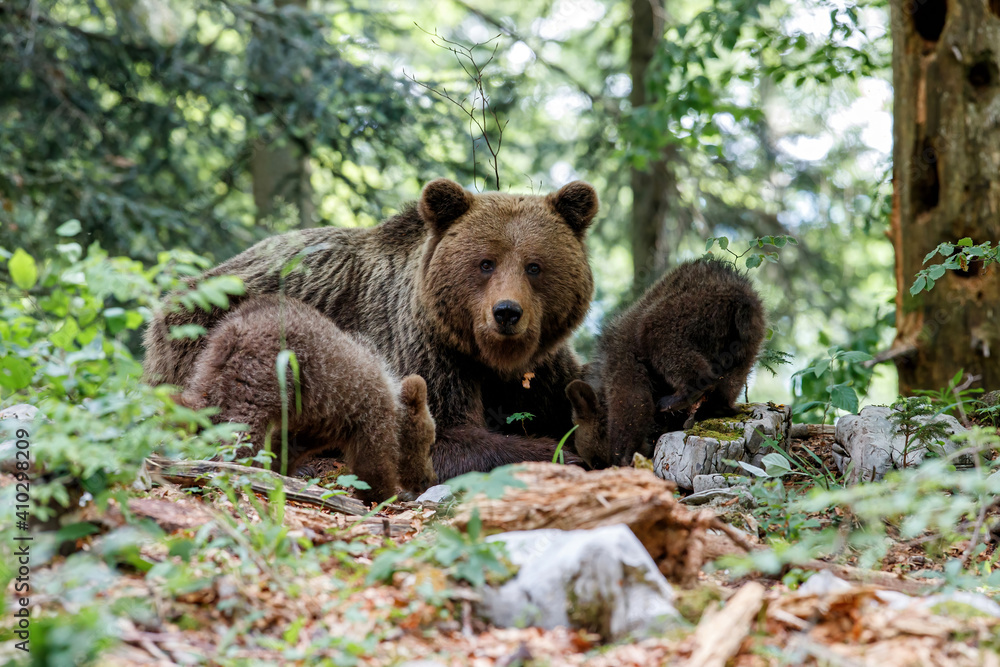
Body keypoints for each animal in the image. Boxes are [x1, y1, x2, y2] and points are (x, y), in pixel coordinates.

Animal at [143, 178, 598, 481]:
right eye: (486, 263)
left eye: (535, 266)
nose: (506, 312)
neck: (488, 359)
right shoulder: (423, 350)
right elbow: (439, 435)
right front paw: (560, 451)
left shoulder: (541, 366)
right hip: (211, 330)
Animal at [176, 295, 437, 503]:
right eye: (428, 443)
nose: (429, 480)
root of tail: (237, 327)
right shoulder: (370, 418)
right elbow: (373, 464)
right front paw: (383, 497)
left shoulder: (318, 422)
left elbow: (285, 446)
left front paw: (282, 471)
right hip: (265, 374)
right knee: (242, 425)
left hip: (213, 368)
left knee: (200, 404)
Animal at [566, 257, 766, 469]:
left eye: (596, 462)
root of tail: (742, 298)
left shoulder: (623, 358)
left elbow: (632, 400)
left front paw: (623, 453)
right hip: (747, 342)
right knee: (732, 380)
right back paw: (719, 406)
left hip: (687, 312)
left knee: (664, 340)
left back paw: (675, 399)